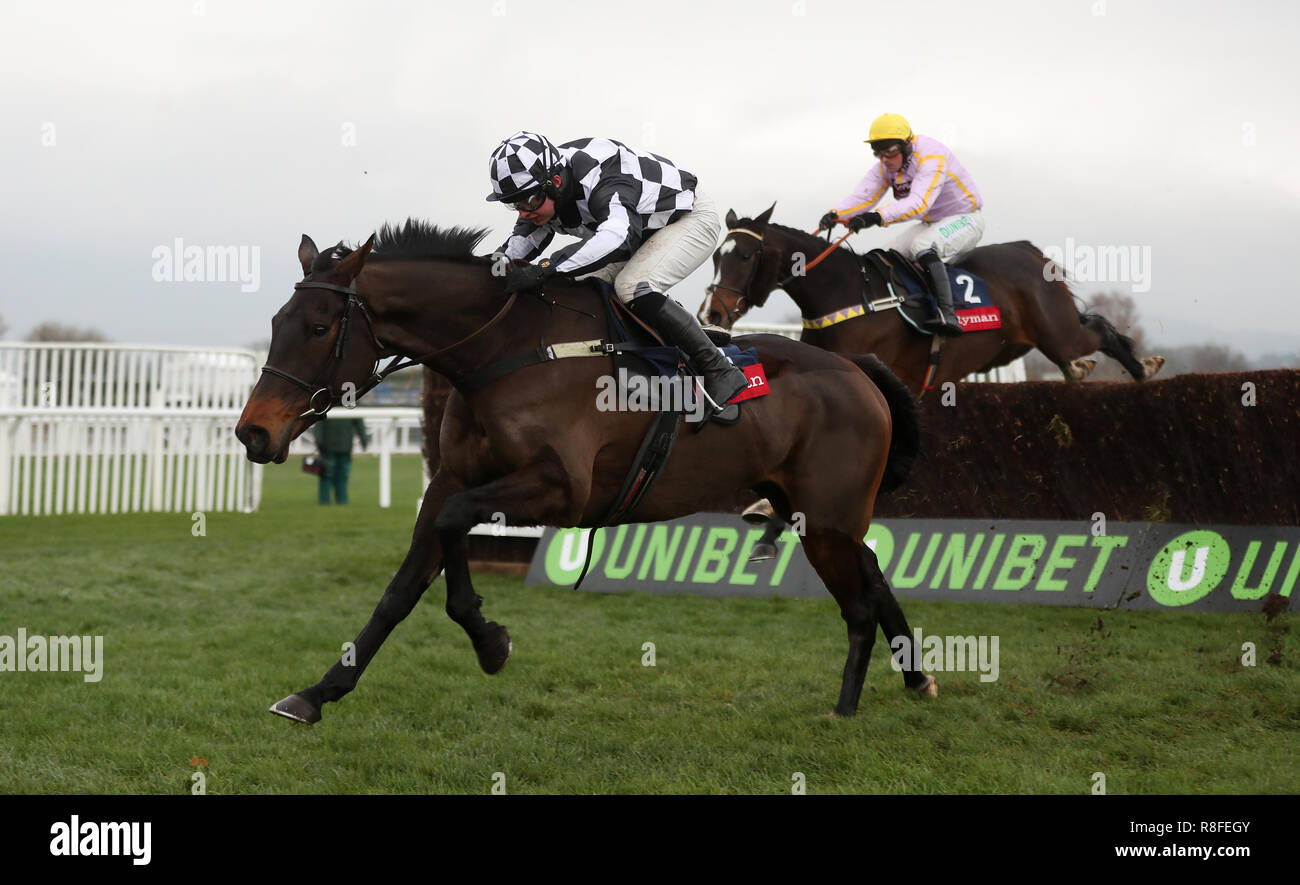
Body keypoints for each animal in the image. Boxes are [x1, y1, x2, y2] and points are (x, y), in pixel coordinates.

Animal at [236, 217, 935, 722]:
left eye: (319, 327)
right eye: (275, 322)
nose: (253, 431)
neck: (507, 349)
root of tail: (857, 368)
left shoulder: (559, 490)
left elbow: (458, 528)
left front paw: (490, 640)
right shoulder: (453, 480)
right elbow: (404, 585)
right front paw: (317, 693)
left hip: (826, 516)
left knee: (859, 602)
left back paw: (845, 707)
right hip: (805, 506)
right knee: (873, 573)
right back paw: (917, 678)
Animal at [696, 205, 1164, 392]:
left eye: (746, 255)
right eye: (717, 255)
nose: (711, 311)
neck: (846, 296)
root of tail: (1030, 251)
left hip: (1057, 328)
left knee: (1098, 331)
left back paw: (1143, 367)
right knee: (1076, 349)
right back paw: (1081, 370)